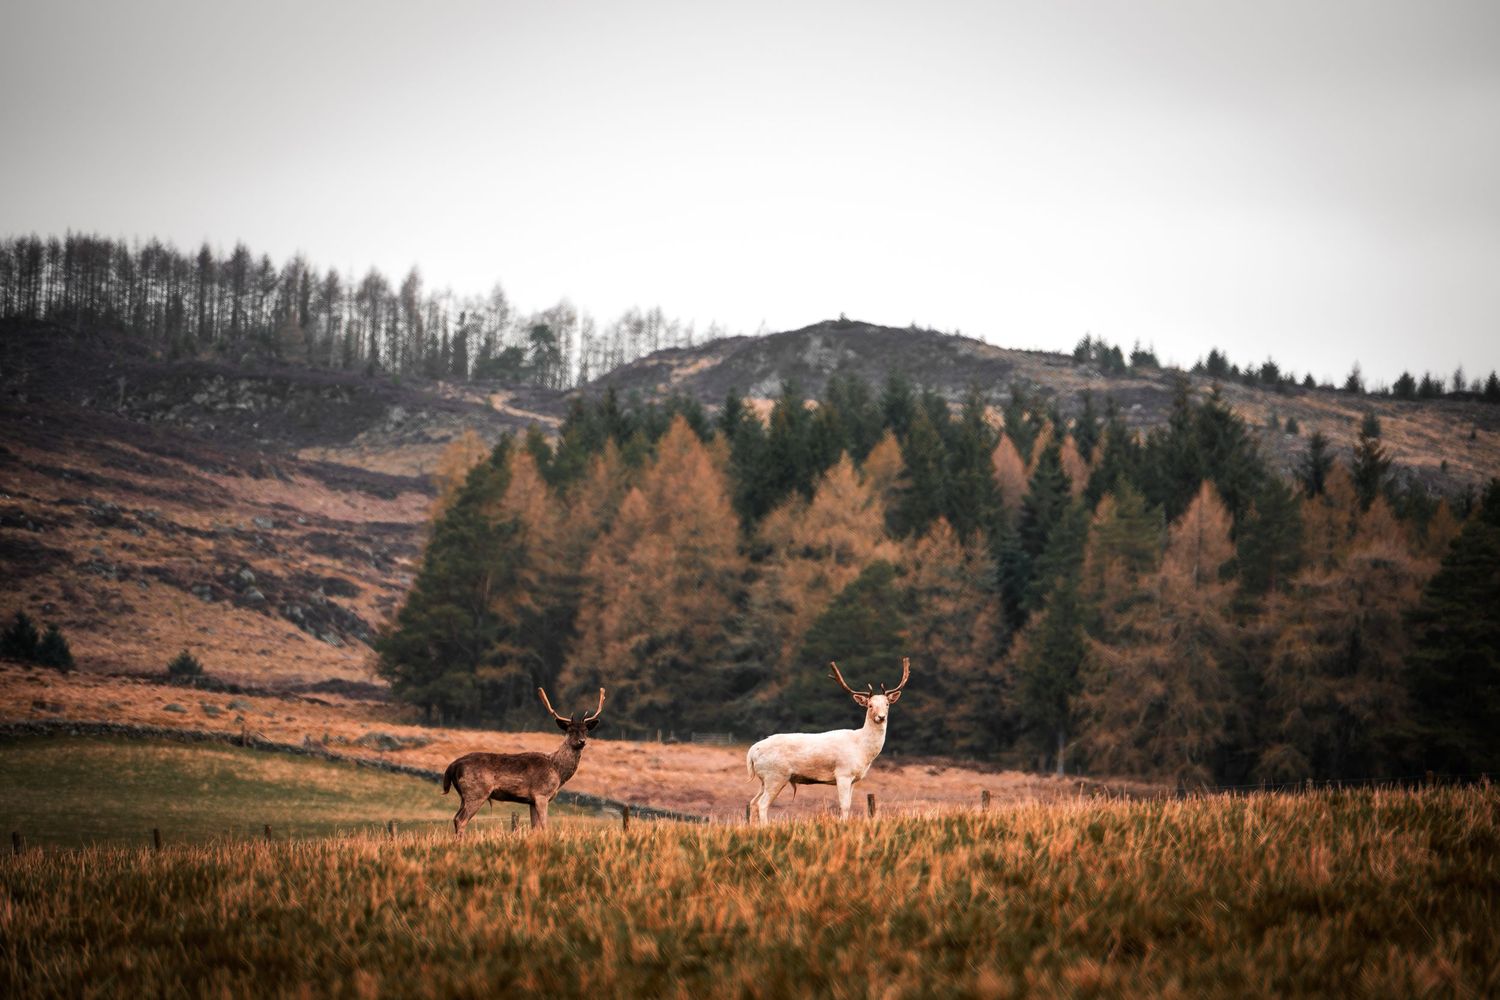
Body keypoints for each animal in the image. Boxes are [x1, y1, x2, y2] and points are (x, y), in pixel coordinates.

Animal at [441, 687, 605, 835]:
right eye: (570, 731)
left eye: (586, 731)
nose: (582, 741)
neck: (557, 771)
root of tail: (453, 766)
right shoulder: (541, 794)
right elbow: (544, 826)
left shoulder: (531, 800)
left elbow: (535, 828)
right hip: (476, 791)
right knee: (461, 820)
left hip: (464, 795)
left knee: (455, 818)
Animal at [746, 657, 909, 823]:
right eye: (870, 705)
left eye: (887, 704)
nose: (881, 717)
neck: (862, 749)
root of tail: (752, 751)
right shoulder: (843, 773)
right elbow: (844, 805)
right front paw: (843, 824)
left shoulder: (853, 779)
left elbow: (849, 804)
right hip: (775, 775)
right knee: (762, 804)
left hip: (764, 779)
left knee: (752, 802)